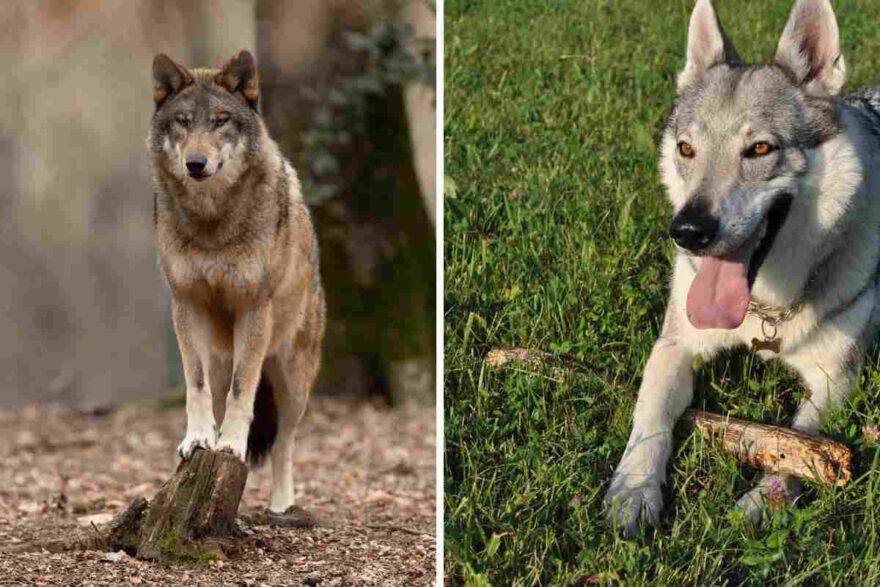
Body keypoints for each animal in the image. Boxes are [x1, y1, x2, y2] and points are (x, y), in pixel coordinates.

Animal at [148, 50, 325, 515]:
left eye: (221, 121)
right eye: (183, 122)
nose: (196, 164)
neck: (212, 221)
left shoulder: (253, 307)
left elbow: (242, 393)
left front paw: (230, 446)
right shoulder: (185, 303)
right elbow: (195, 387)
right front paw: (198, 440)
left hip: (292, 382)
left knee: (284, 445)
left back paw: (281, 507)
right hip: (222, 356)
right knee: (218, 392)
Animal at [604, 0, 880, 535]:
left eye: (759, 149)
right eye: (686, 149)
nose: (688, 230)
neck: (766, 310)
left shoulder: (836, 380)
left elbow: (803, 446)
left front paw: (760, 504)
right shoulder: (674, 345)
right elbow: (649, 418)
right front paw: (633, 490)